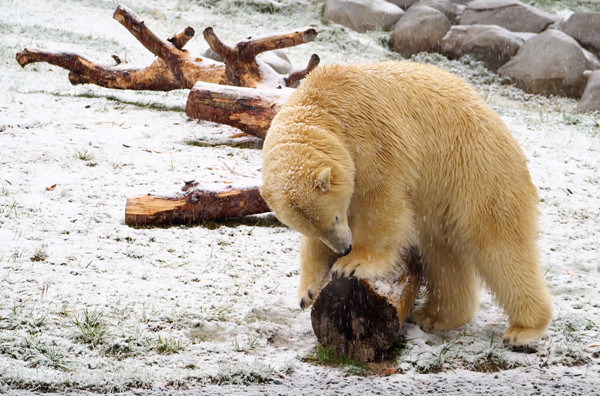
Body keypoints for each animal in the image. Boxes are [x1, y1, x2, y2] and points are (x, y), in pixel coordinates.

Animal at [262, 60, 552, 348]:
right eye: (315, 228)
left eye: (334, 218)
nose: (344, 248)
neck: (324, 103)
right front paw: (307, 291)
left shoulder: (371, 139)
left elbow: (380, 205)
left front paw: (352, 265)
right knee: (443, 252)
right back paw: (435, 316)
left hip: (475, 171)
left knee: (499, 245)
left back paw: (523, 330)